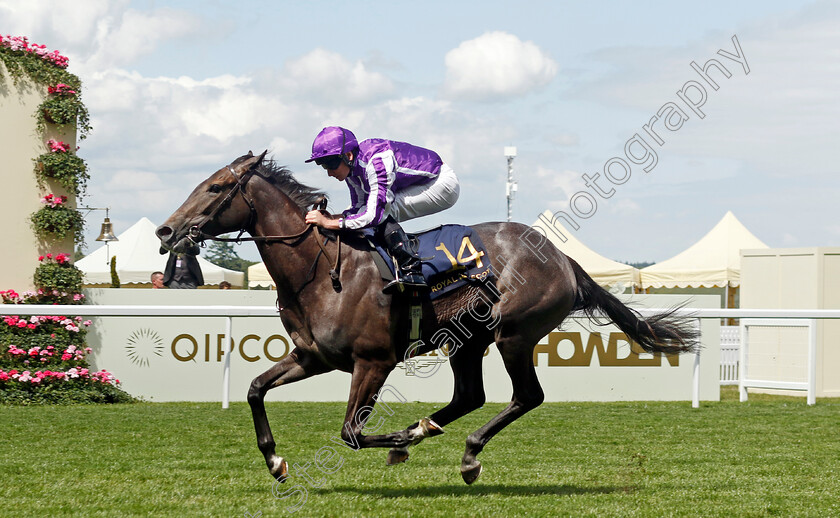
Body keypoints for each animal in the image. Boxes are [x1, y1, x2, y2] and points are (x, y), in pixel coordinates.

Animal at [156, 151, 696, 488]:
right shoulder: (314, 357)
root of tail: (564, 259)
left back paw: (463, 452)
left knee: (527, 396)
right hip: (468, 341)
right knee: (470, 395)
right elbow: (254, 389)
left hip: (514, 334)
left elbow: (351, 432)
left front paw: (396, 438)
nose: (166, 231)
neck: (319, 271)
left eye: (216, 187)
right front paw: (275, 461)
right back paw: (428, 432)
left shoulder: (374, 360)